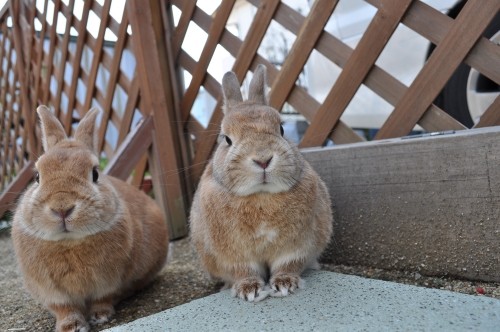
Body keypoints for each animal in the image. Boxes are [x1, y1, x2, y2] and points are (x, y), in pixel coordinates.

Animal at [10, 107, 168, 332]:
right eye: (37, 177)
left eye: (95, 174)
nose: (62, 207)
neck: (69, 242)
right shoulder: (52, 292)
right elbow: (64, 308)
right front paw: (72, 326)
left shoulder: (109, 281)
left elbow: (103, 298)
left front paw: (100, 317)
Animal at [189, 63, 334, 302]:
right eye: (226, 139)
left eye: (282, 129)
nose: (263, 159)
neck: (261, 197)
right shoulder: (235, 256)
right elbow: (244, 271)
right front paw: (249, 290)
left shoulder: (296, 247)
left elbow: (287, 265)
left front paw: (285, 284)